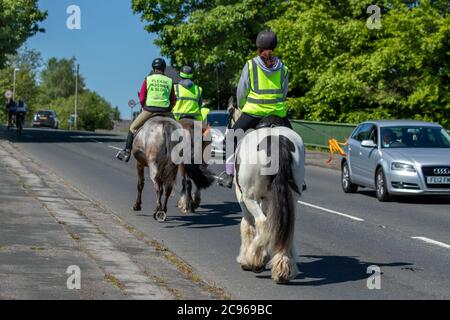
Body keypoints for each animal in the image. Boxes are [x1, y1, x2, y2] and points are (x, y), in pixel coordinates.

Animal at [229, 99, 306, 284]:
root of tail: (278, 143)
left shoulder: (243, 198)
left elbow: (247, 225)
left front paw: (246, 259)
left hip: (250, 197)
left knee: (263, 223)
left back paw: (254, 259)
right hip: (292, 197)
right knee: (286, 227)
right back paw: (282, 268)